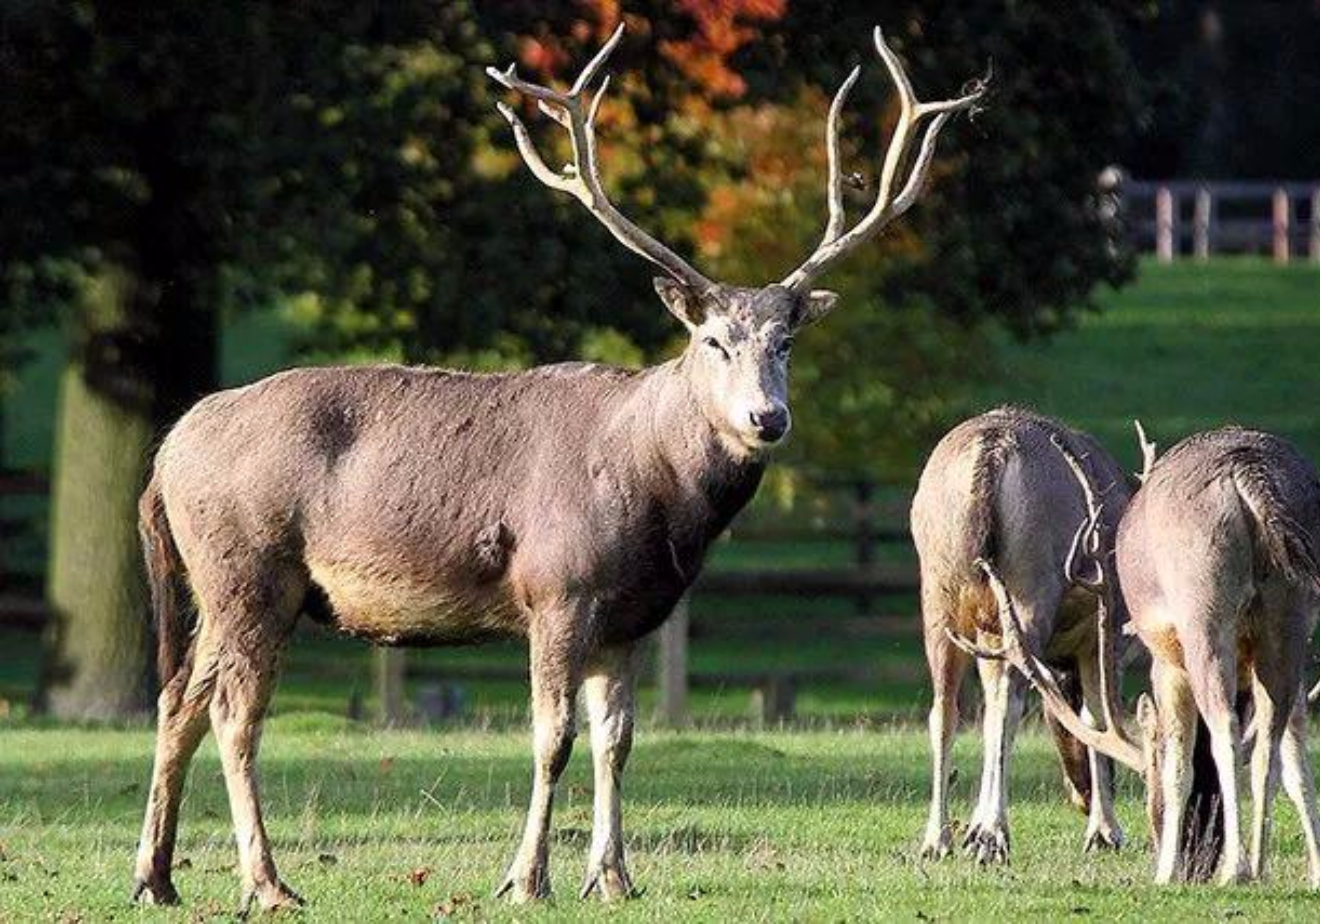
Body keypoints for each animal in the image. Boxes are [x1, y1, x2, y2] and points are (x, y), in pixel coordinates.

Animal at [131, 25, 992, 913]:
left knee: (178, 697)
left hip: (217, 585)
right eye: (712, 339)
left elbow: (618, 739)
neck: (660, 506)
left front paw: (613, 877)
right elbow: (554, 737)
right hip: (249, 569)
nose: (767, 419)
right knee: (234, 713)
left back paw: (156, 877)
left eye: (785, 342)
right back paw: (267, 884)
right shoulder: (558, 589)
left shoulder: (632, 616)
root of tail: (166, 454)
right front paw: (525, 877)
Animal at [918, 406, 1135, 860]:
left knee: (945, 709)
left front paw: (970, 827)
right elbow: (1097, 714)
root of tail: (992, 450)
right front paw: (1105, 831)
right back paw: (993, 833)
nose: (1080, 797)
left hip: (938, 594)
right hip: (1030, 584)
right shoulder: (1103, 637)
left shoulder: (988, 636)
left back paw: (937, 838)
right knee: (1009, 701)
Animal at [955, 425, 1320, 887]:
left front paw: (1165, 871)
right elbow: (1294, 761)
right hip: (1290, 617)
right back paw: (1255, 866)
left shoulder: (1165, 660)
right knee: (1266, 744)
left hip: (1201, 614)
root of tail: (1249, 478)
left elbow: (1179, 761)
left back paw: (1236, 870)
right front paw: (1313, 871)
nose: (1196, 865)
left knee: (1225, 728)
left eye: (1149, 788)